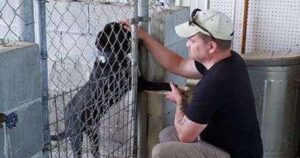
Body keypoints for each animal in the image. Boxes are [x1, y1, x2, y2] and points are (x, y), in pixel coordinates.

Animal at [50, 21, 175, 157]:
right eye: (120, 30)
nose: (133, 27)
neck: (113, 57)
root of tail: (65, 114)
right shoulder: (140, 84)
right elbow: (160, 84)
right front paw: (174, 87)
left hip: (93, 133)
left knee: (95, 151)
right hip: (76, 136)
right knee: (77, 152)